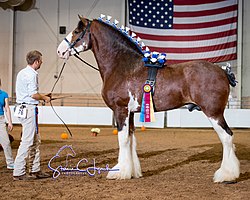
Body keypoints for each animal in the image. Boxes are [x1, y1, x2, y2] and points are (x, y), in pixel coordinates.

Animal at [57, 16, 240, 183]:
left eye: (77, 31)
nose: (60, 51)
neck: (123, 66)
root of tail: (223, 71)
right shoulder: (130, 112)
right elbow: (131, 139)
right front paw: (132, 172)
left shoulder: (120, 109)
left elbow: (123, 140)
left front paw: (119, 173)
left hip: (213, 112)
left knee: (227, 137)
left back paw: (226, 176)